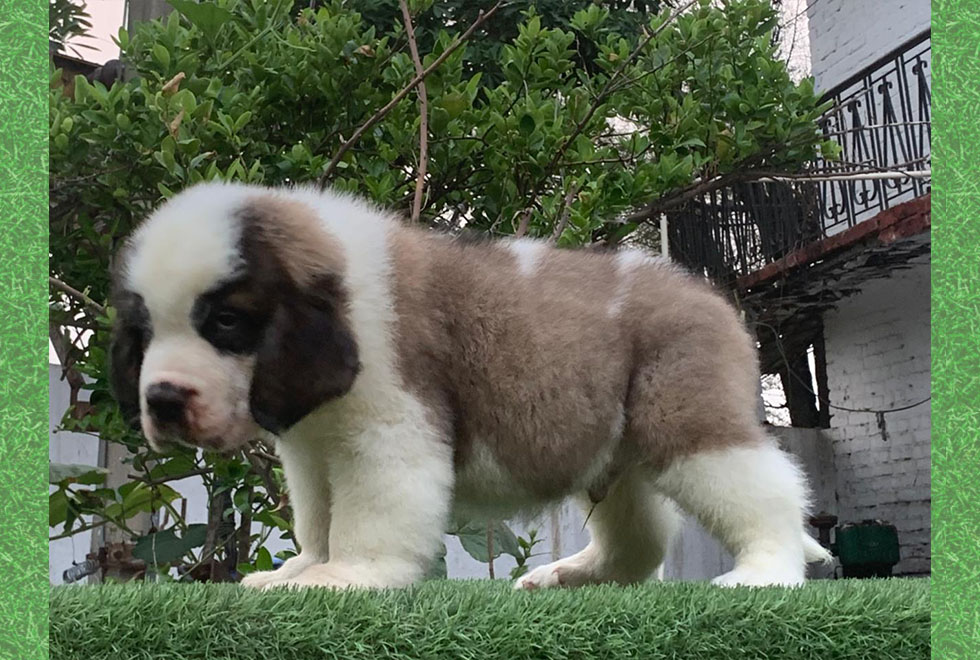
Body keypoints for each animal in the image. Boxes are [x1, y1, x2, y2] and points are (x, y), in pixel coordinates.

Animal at [107, 179, 832, 588]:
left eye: (226, 322)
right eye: (144, 330)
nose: (161, 400)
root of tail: (709, 295)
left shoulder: (387, 430)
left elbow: (368, 514)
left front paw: (345, 576)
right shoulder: (311, 445)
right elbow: (318, 516)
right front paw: (307, 564)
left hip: (687, 417)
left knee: (765, 495)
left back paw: (765, 574)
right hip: (616, 454)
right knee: (641, 537)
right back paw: (575, 577)